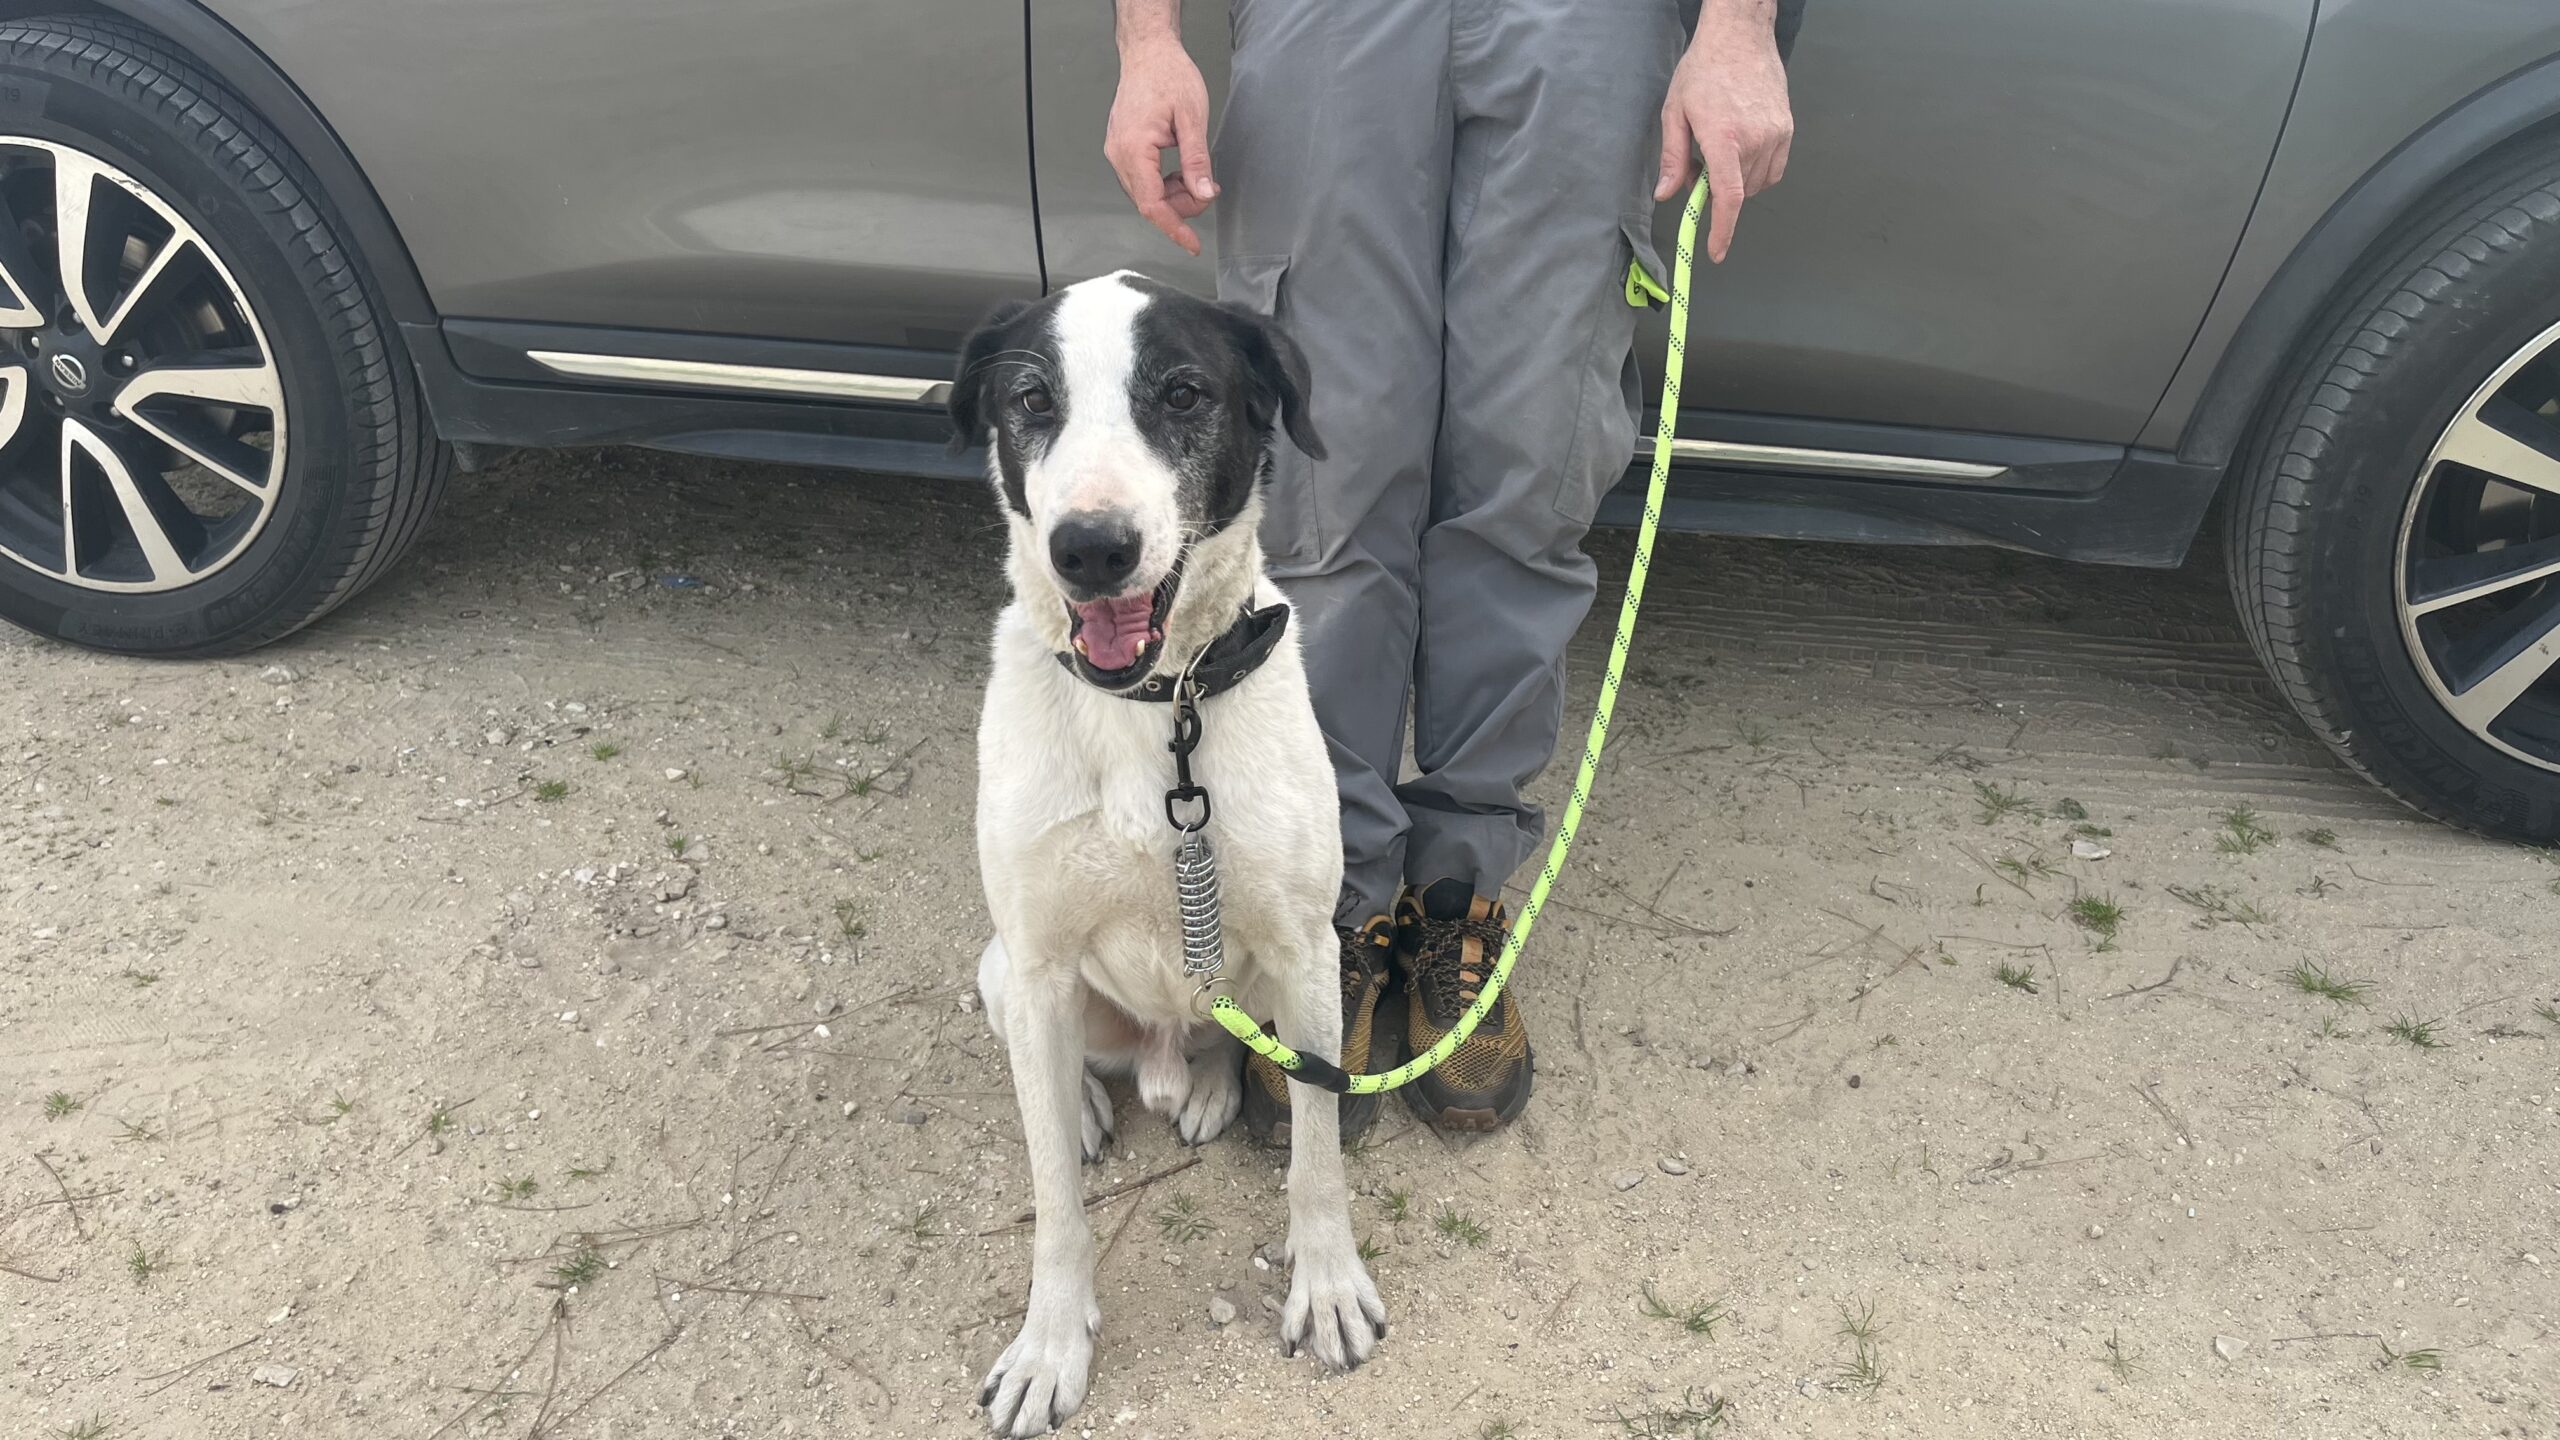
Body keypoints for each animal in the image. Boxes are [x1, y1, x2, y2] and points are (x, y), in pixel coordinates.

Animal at [950, 272, 1386, 1436]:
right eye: (1031, 400)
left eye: (1183, 394)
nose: (1090, 547)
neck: (1159, 706)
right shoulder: (1039, 959)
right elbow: (1054, 1202)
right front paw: (1051, 1344)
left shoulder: (1308, 945)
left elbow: (1317, 1157)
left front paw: (1327, 1284)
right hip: (1004, 971)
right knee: (1052, 1067)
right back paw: (1092, 1105)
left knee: (1227, 1037)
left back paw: (1204, 1086)